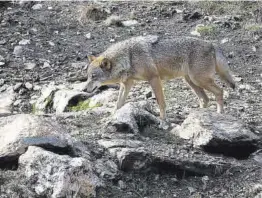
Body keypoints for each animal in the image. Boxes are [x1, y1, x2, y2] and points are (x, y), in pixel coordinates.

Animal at [85, 34, 235, 120]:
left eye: (93, 76)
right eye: (87, 77)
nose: (85, 89)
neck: (128, 57)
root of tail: (212, 44)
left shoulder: (154, 79)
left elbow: (161, 102)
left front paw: (163, 121)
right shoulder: (126, 84)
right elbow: (118, 103)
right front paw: (112, 117)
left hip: (199, 80)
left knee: (220, 91)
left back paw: (219, 113)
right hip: (191, 81)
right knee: (205, 99)